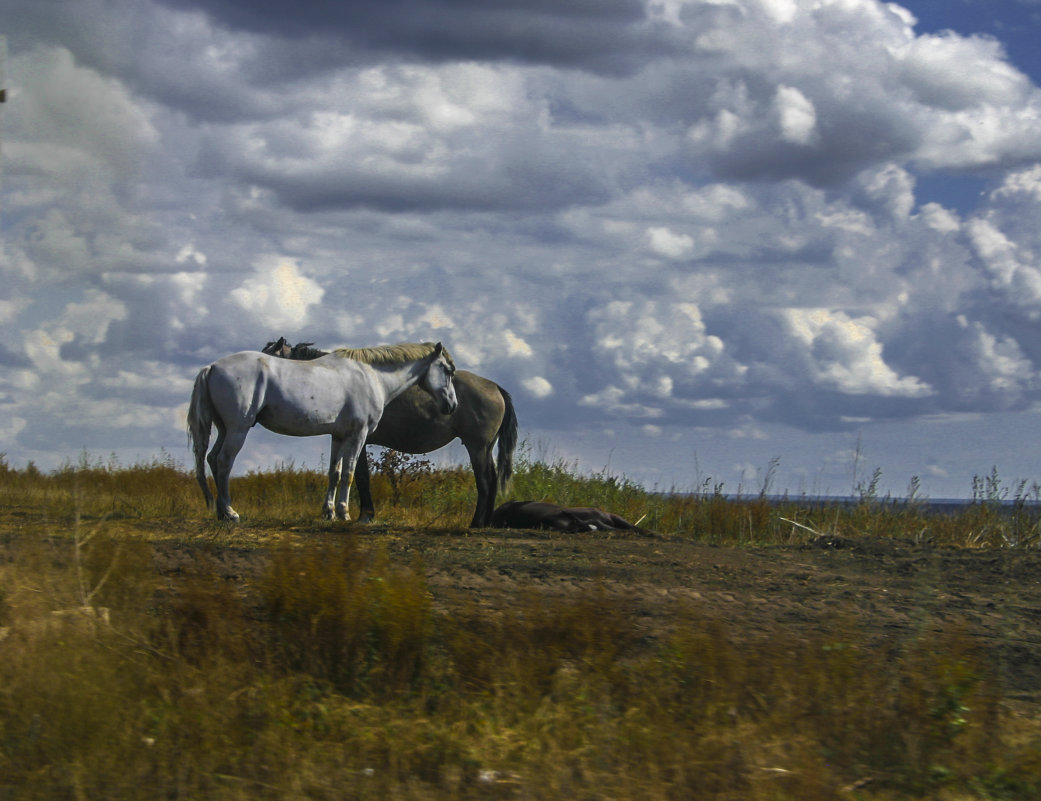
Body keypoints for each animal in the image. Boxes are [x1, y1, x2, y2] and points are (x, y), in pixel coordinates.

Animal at [187, 341, 455, 518]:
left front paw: (330, 512)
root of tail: (212, 367)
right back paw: (230, 512)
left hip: (224, 429)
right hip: (237, 430)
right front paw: (345, 512)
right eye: (447, 370)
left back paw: (220, 512)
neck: (370, 376)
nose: (452, 405)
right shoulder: (358, 435)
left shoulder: (338, 436)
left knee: (211, 458)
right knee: (223, 461)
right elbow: (349, 474)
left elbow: (334, 473)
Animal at [264, 335, 516, 529]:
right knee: (492, 478)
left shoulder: (359, 439)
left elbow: (360, 477)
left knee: (485, 481)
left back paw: (476, 522)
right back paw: (486, 522)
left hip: (477, 446)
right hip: (486, 447)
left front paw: (364, 515)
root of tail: (495, 387)